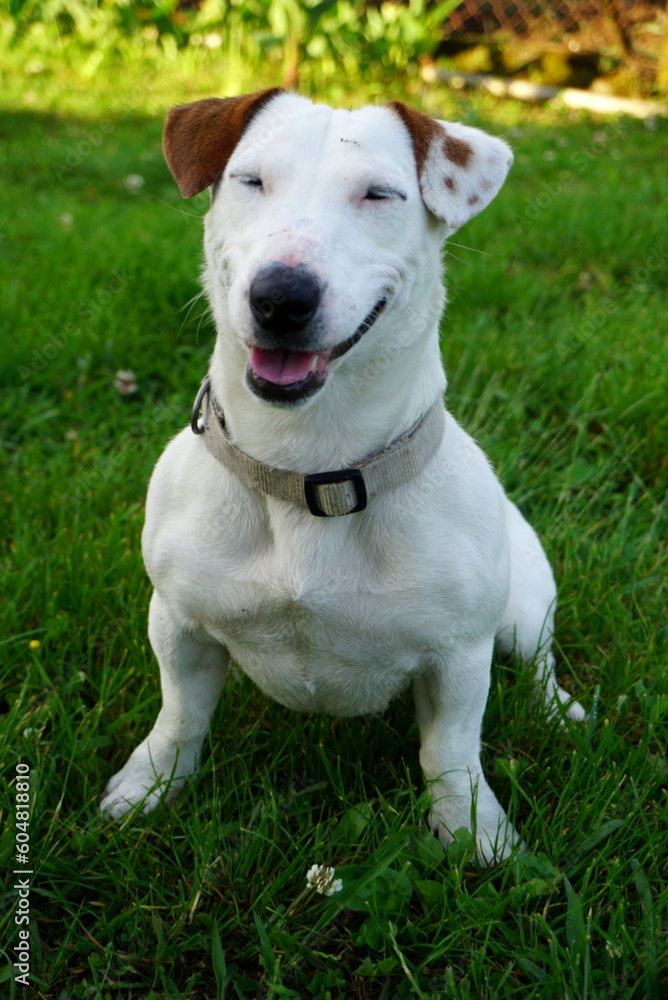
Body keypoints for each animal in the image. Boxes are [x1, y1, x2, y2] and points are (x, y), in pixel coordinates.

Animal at [100, 90, 584, 864]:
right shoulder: (178, 622)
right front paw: (150, 786)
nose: (281, 296)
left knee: (538, 660)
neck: (309, 467)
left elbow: (450, 752)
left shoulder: (459, 658)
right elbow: (180, 716)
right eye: (250, 181)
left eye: (379, 194)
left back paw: (560, 710)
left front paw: (474, 832)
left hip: (524, 604)